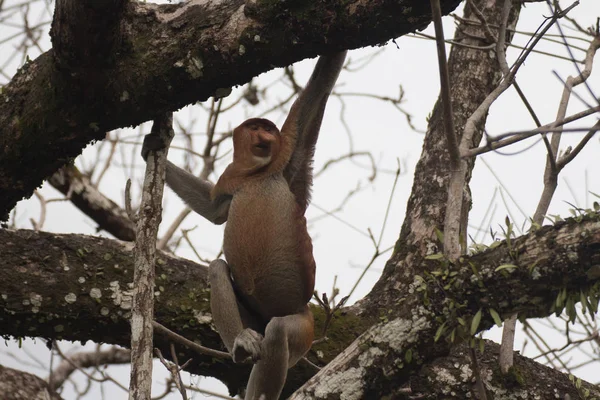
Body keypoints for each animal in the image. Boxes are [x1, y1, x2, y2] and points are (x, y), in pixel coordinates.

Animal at [142, 51, 346, 398]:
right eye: (256, 128)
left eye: (269, 129)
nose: (265, 137)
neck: (255, 176)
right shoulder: (231, 179)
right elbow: (214, 209)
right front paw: (151, 146)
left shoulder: (288, 151)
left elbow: (319, 86)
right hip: (253, 315)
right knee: (218, 270)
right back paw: (241, 342)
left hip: (302, 325)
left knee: (278, 332)